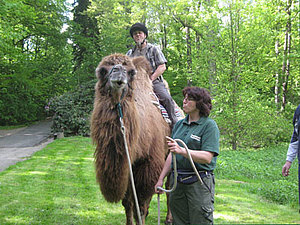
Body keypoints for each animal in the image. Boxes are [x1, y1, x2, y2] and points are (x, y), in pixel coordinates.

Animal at [90, 53, 171, 224]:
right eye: (102, 70)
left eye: (131, 72)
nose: (118, 71)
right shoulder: (128, 167)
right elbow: (128, 203)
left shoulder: (149, 165)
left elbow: (141, 205)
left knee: (169, 187)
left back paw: (168, 219)